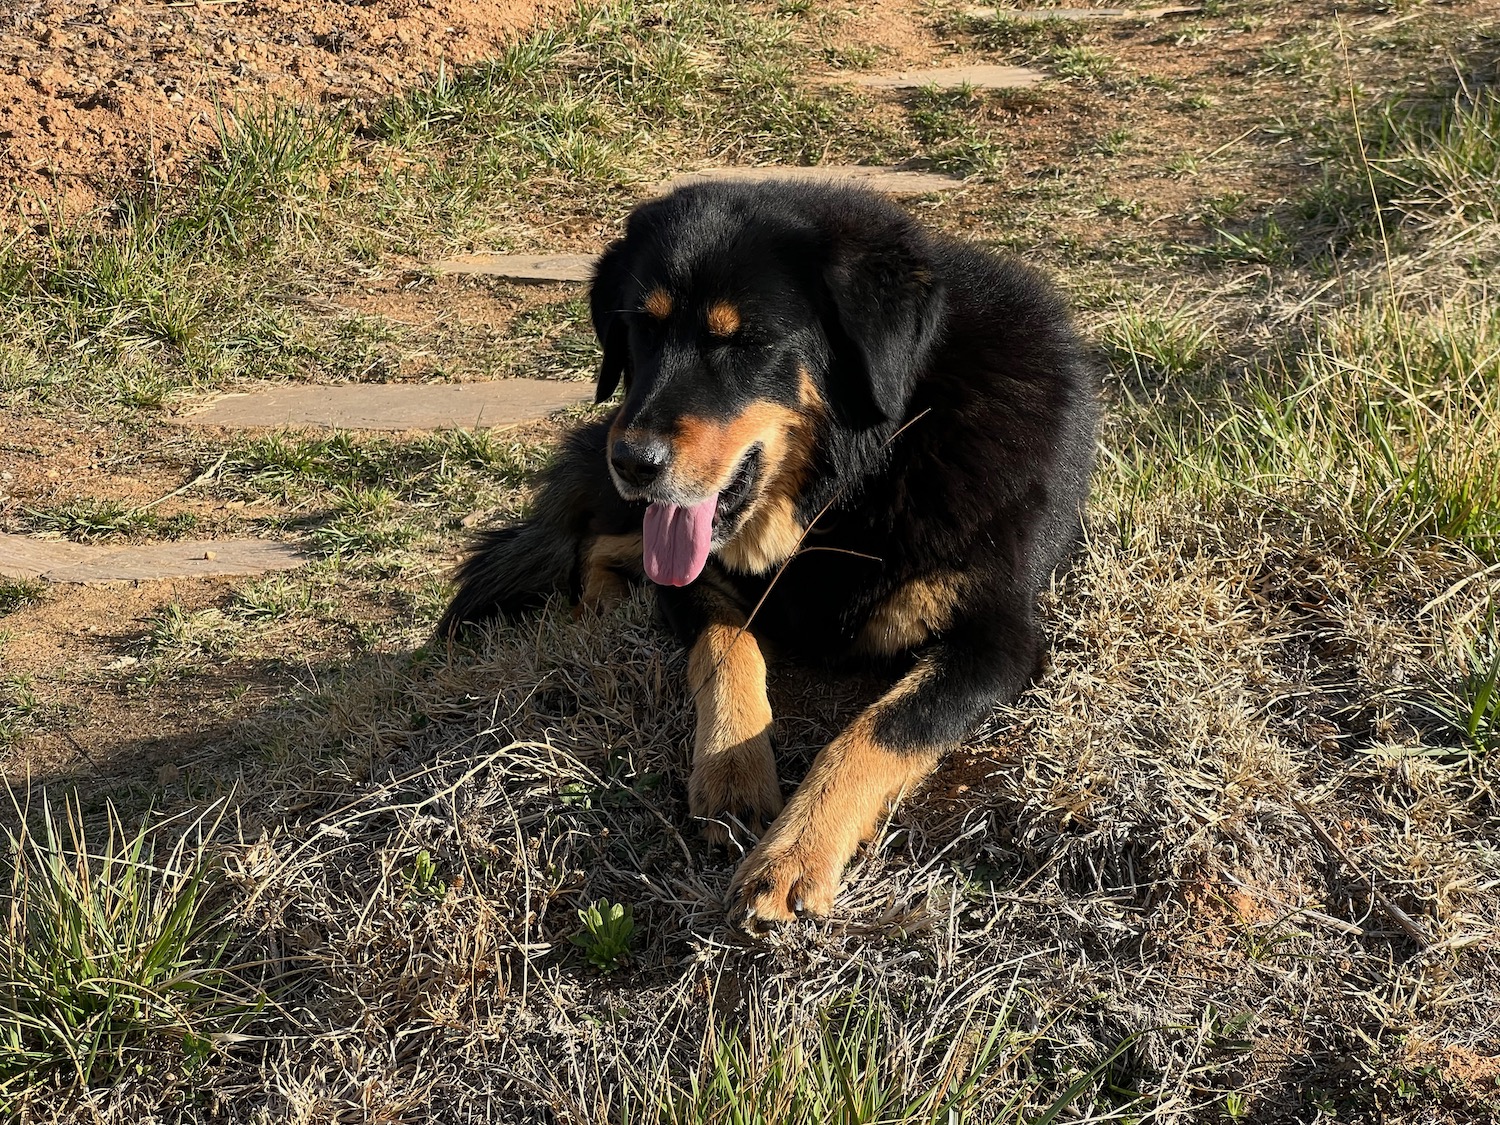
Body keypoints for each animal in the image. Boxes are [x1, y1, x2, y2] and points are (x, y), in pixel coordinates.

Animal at [438, 180, 1098, 930]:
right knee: (596, 542)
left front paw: (795, 851)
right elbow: (727, 647)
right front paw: (733, 771)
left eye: (745, 341)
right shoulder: (696, 580)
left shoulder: (995, 641)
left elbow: (878, 729)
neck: (861, 479)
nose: (631, 461)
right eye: (641, 328)